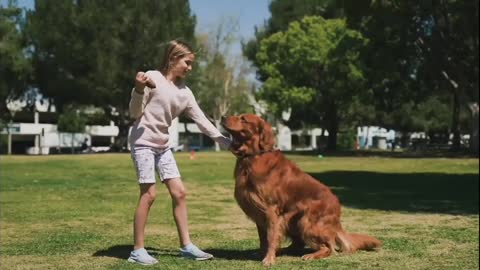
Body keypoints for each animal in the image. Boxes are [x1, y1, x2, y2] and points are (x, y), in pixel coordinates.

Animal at [221, 114, 382, 266]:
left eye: (243, 118)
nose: (222, 117)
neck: (253, 156)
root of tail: (337, 212)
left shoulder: (271, 210)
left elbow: (271, 236)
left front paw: (269, 259)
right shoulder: (259, 213)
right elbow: (263, 239)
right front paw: (263, 253)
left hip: (306, 221)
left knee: (329, 247)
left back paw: (310, 255)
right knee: (299, 244)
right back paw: (283, 250)